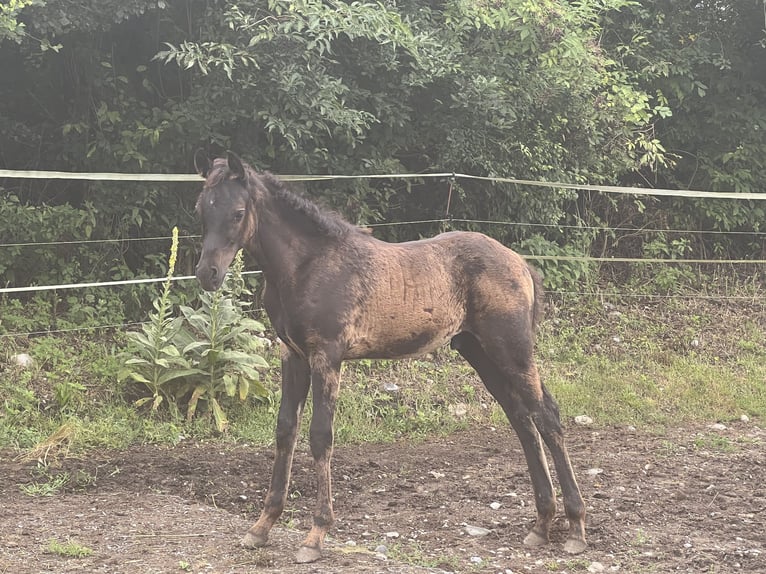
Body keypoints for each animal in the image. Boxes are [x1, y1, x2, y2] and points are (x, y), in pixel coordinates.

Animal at [192, 151, 588, 564]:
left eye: (238, 212)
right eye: (201, 209)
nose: (207, 273)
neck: (307, 266)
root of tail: (521, 263)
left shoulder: (327, 356)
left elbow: (320, 435)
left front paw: (316, 535)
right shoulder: (293, 355)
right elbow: (285, 430)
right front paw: (262, 526)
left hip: (511, 348)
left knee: (547, 415)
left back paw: (575, 527)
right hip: (479, 352)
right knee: (522, 419)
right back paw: (541, 525)